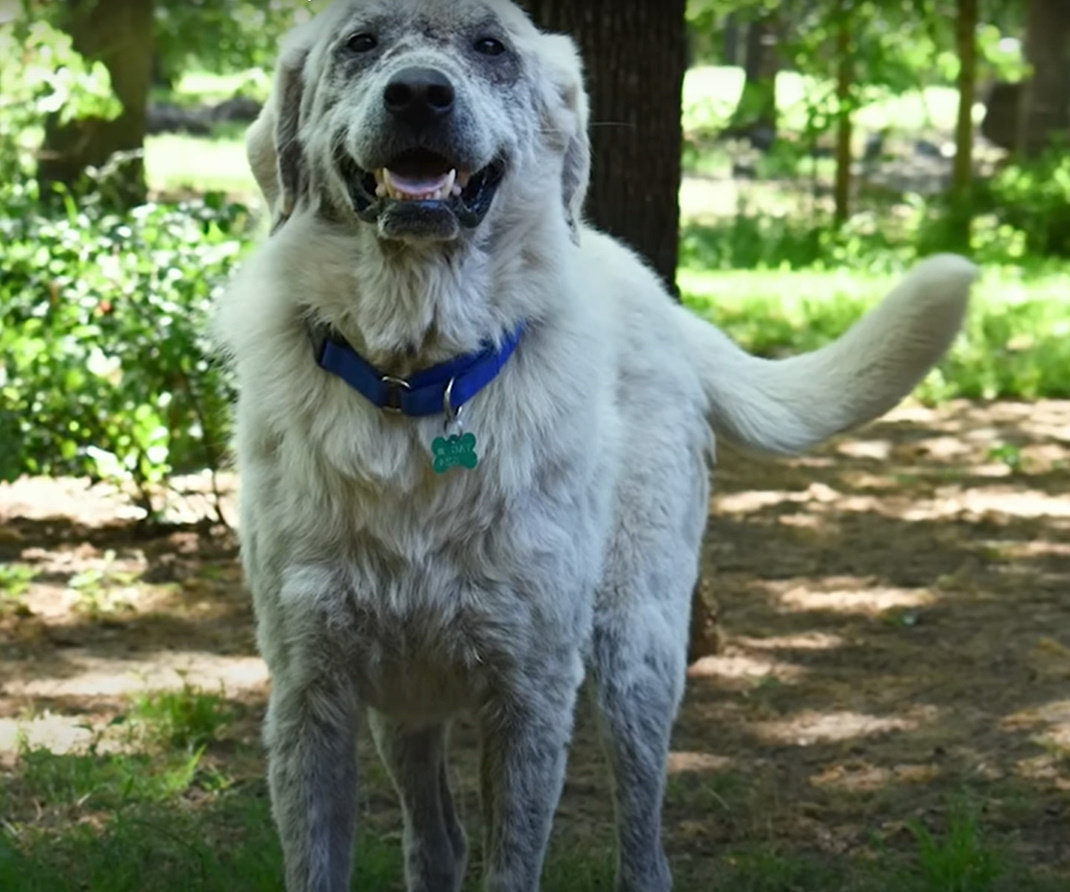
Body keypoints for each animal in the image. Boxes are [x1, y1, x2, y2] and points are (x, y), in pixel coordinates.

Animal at [212, 3, 975, 885]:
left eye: (491, 46)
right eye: (360, 43)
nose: (419, 95)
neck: (419, 382)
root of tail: (662, 300)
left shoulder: (533, 692)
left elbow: (513, 864)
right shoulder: (312, 696)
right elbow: (325, 859)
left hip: (637, 655)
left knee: (644, 845)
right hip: (404, 704)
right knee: (437, 841)